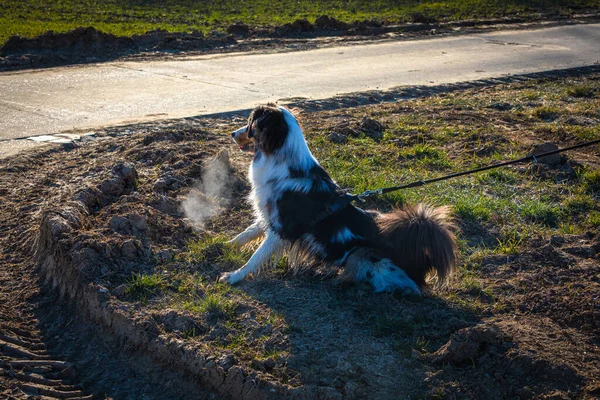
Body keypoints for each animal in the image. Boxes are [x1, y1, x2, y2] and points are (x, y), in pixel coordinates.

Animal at [223, 104, 458, 294]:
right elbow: (248, 232)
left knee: (395, 284)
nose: (232, 133)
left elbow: (257, 256)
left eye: (250, 123)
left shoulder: (282, 228)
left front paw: (234, 276)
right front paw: (224, 245)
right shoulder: (269, 215)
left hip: (364, 255)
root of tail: (418, 261)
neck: (284, 164)